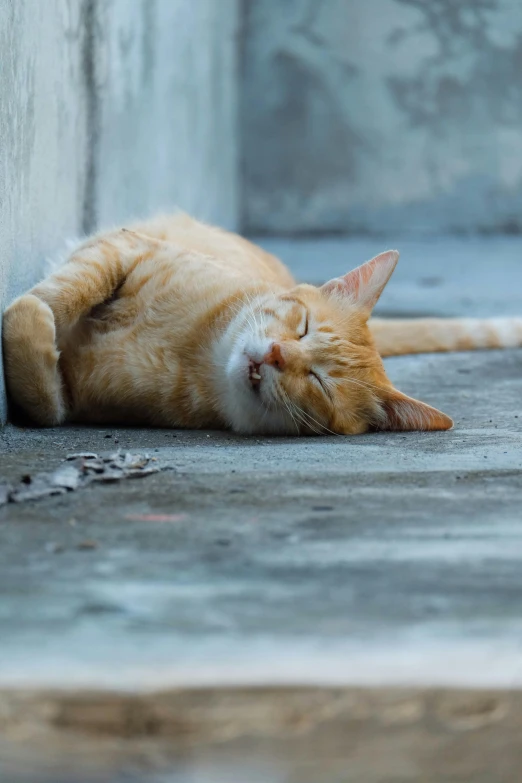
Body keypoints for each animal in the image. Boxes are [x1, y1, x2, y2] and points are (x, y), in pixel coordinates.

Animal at [4, 213, 520, 434]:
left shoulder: (70, 403)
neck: (193, 351)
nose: (275, 354)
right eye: (304, 326)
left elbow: (44, 398)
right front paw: (39, 305)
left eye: (319, 381)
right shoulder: (126, 247)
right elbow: (63, 290)